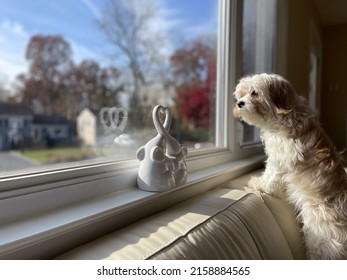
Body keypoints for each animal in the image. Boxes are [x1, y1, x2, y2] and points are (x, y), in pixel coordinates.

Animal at [234, 73, 347, 260]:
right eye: (242, 94)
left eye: (254, 93)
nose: (239, 103)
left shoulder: (280, 159)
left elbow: (271, 175)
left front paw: (260, 185)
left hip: (324, 240)